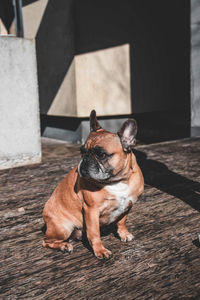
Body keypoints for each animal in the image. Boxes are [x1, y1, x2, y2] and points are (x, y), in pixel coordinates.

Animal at [43, 109, 144, 258]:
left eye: (101, 154)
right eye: (82, 151)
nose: (85, 159)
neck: (117, 181)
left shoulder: (128, 204)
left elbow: (122, 221)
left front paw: (124, 234)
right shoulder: (91, 210)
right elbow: (94, 233)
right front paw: (100, 250)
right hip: (63, 228)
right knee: (46, 241)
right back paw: (64, 246)